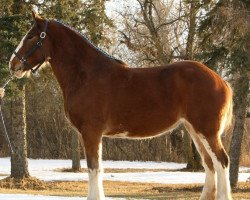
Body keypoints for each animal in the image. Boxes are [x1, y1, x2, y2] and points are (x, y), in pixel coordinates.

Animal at [9, 12, 232, 200]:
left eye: (31, 36)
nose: (13, 64)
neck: (86, 75)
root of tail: (221, 81)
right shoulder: (87, 134)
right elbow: (96, 168)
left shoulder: (91, 131)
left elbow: (94, 168)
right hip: (194, 130)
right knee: (209, 164)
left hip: (206, 131)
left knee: (221, 161)